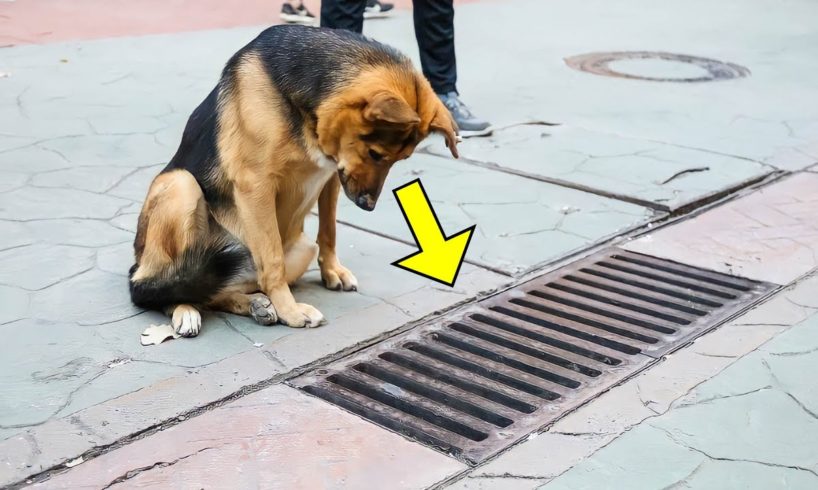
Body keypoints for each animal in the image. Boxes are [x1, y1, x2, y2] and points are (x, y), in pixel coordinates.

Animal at [128, 23, 460, 336]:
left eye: (400, 159)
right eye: (376, 154)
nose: (368, 206)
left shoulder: (332, 176)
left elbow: (329, 231)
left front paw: (332, 272)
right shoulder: (256, 184)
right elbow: (272, 259)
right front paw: (290, 311)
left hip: (299, 250)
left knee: (219, 291)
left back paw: (255, 304)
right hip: (181, 186)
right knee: (156, 288)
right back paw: (186, 309)